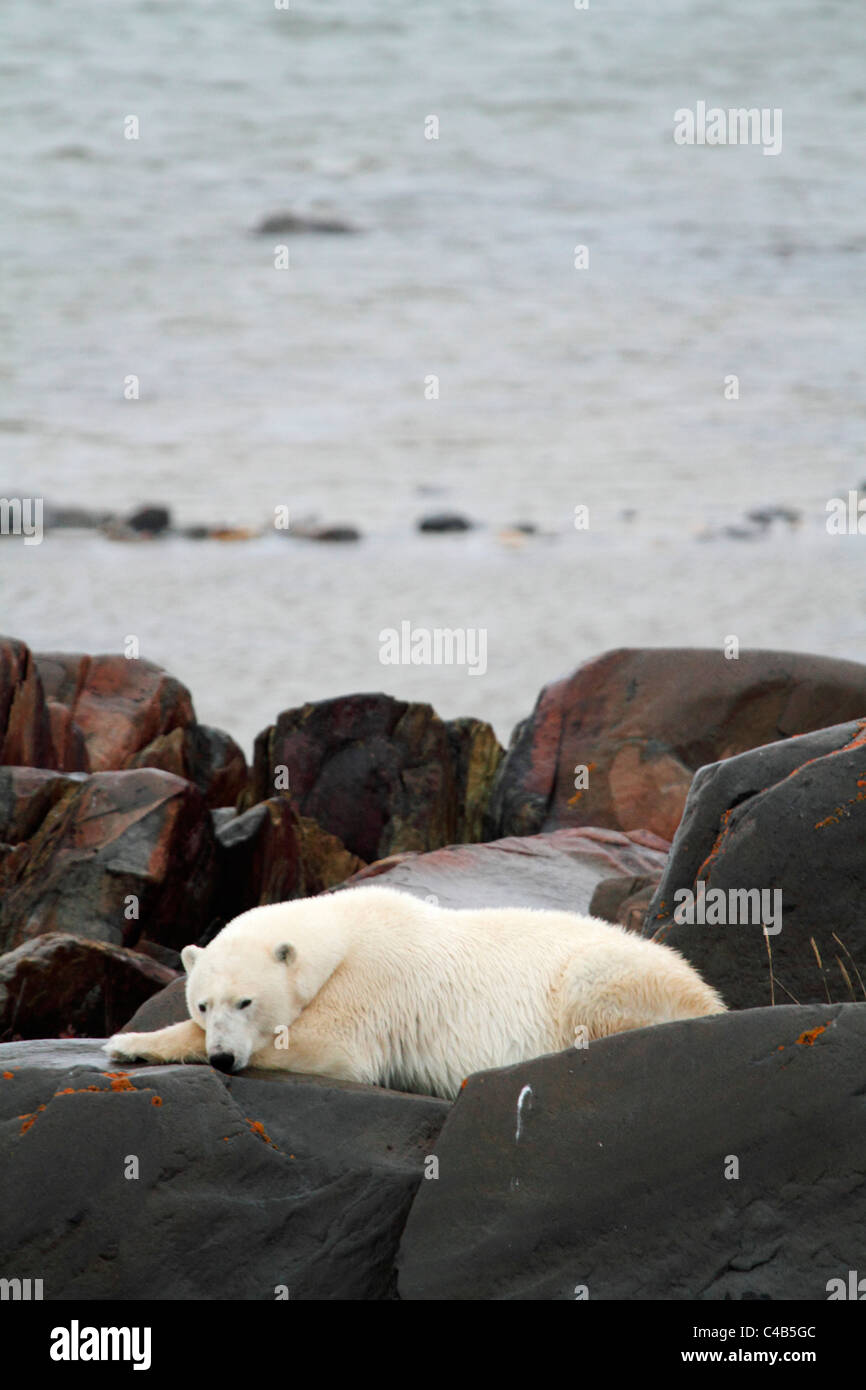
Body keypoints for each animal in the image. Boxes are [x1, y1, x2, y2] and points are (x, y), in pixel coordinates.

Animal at [104, 884, 722, 1100]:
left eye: (246, 1002)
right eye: (203, 1003)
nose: (223, 1058)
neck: (345, 931)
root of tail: (710, 998)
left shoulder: (375, 979)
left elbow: (334, 1045)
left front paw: (131, 1040)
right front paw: (134, 1041)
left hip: (618, 975)